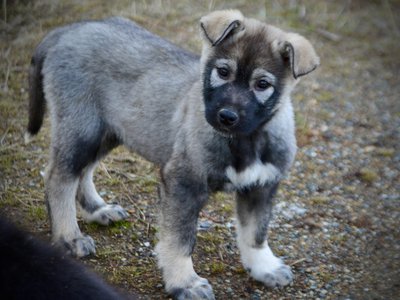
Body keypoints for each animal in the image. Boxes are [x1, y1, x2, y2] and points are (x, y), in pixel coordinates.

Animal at [25, 9, 318, 300]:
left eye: (262, 84)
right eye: (223, 72)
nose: (226, 117)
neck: (246, 140)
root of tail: (69, 30)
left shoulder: (261, 187)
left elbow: (255, 233)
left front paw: (264, 267)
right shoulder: (183, 184)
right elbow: (180, 240)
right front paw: (185, 282)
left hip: (107, 131)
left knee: (83, 171)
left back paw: (98, 210)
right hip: (82, 126)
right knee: (59, 177)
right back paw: (69, 237)